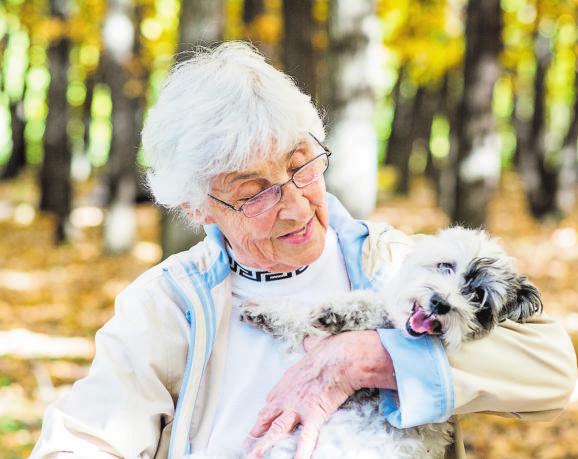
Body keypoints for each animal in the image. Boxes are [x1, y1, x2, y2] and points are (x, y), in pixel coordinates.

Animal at [191, 229, 544, 459]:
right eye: (446, 266)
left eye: (478, 296)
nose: (441, 303)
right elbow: (305, 320)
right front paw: (268, 311)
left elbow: (362, 308)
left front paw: (336, 312)